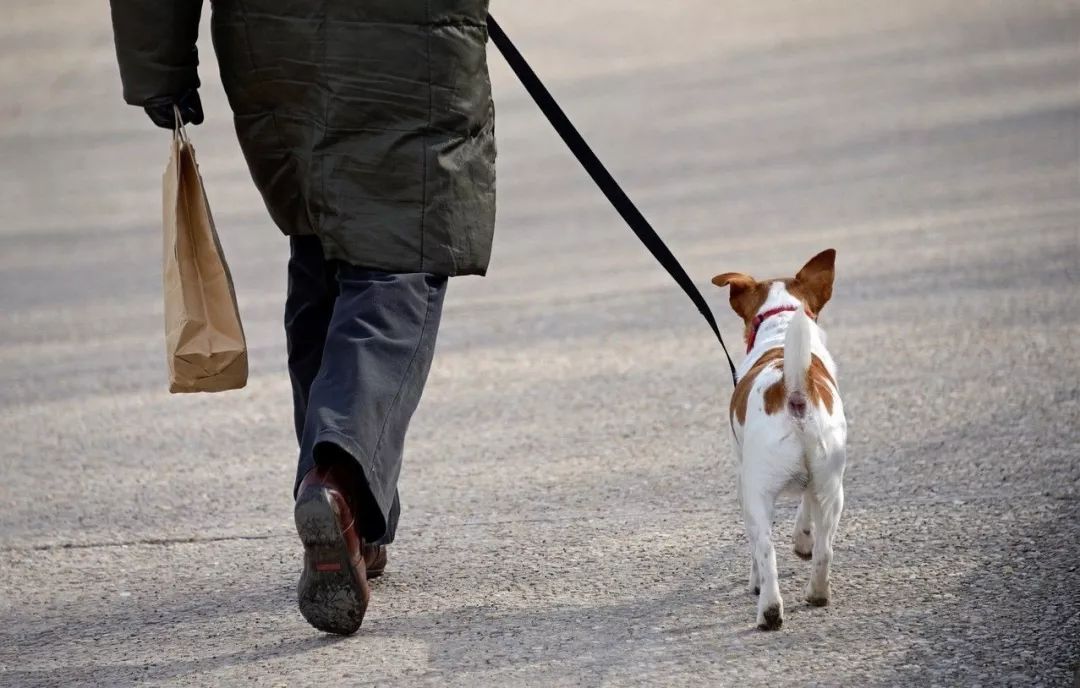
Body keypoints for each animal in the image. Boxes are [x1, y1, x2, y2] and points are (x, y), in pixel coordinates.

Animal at [712, 249, 846, 630]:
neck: (782, 323)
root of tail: (795, 391)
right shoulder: (816, 484)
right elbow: (806, 512)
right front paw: (802, 541)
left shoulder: (742, 478)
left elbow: (756, 549)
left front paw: (754, 582)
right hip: (833, 486)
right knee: (825, 549)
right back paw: (817, 594)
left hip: (757, 491)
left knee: (765, 550)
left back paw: (769, 609)